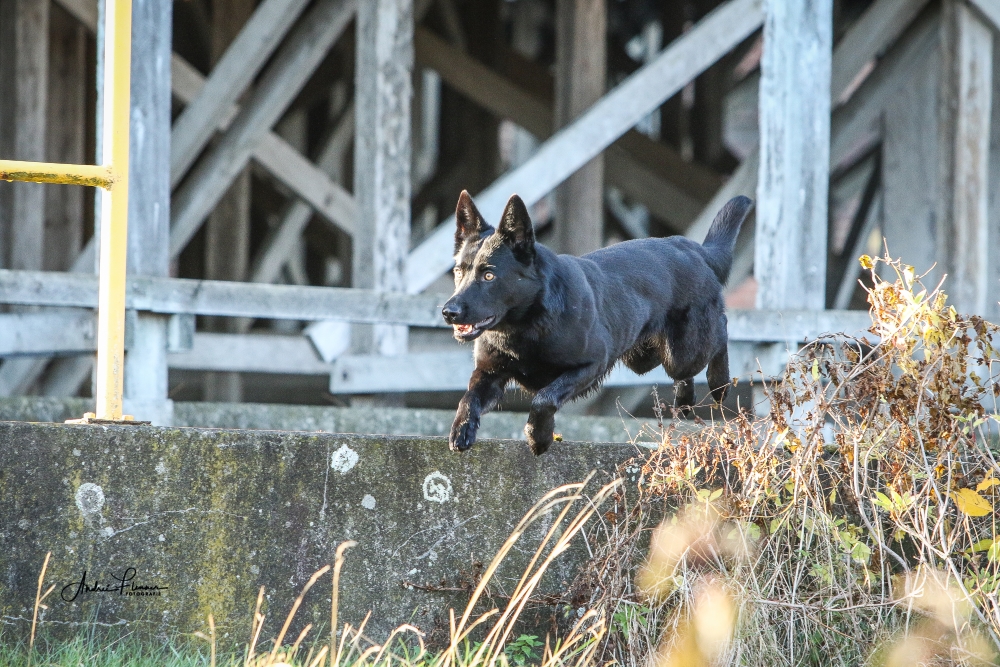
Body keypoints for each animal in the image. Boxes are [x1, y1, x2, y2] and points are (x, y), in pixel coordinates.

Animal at [442, 190, 752, 456]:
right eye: (458, 271)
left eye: (489, 275)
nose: (448, 312)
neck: (525, 326)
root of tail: (693, 249)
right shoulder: (490, 373)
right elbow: (468, 398)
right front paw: (461, 430)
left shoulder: (591, 365)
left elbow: (544, 398)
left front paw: (538, 437)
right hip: (644, 358)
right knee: (684, 373)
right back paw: (685, 401)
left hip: (683, 353)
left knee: (721, 332)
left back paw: (719, 383)